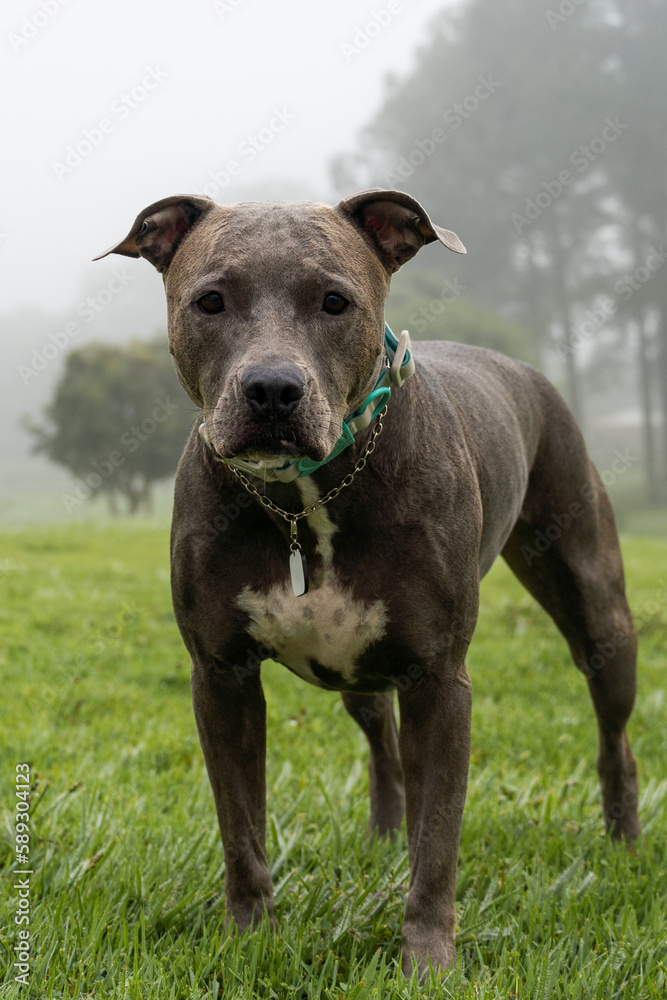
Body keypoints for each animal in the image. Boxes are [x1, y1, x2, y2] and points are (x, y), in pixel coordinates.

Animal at [95, 188, 640, 976]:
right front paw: (249, 939)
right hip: (359, 668)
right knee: (381, 738)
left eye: (335, 301)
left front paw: (428, 960)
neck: (304, 499)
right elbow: (241, 828)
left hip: (596, 605)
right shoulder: (222, 678)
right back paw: (384, 836)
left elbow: (438, 842)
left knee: (612, 731)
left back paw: (624, 841)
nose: (272, 389)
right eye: (210, 300)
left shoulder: (439, 680)